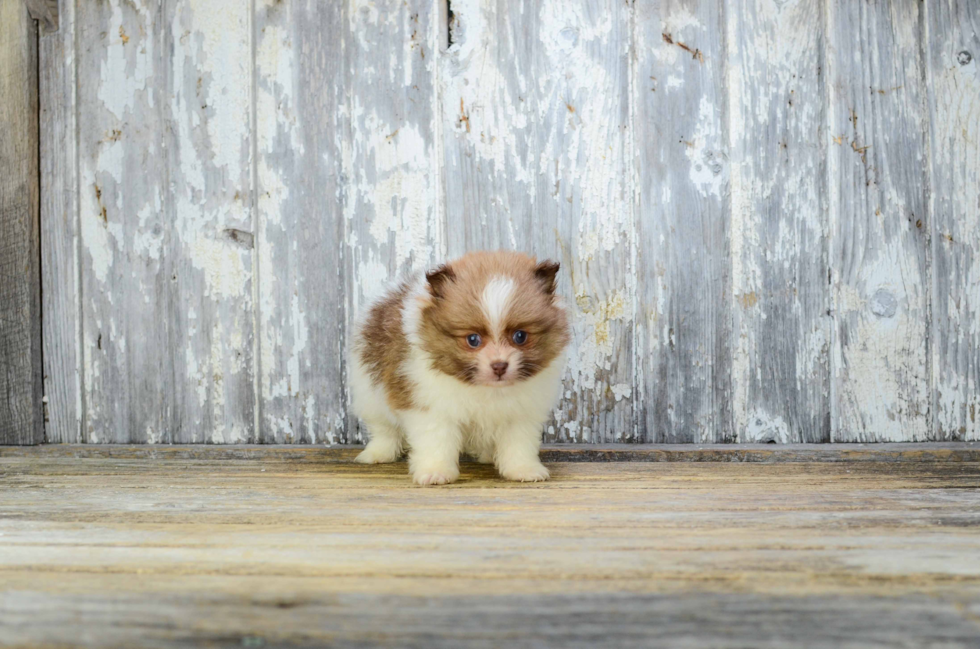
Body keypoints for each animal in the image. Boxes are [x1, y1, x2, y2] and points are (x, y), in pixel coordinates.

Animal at [350, 251, 568, 484]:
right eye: (473, 339)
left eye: (520, 336)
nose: (499, 366)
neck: (486, 389)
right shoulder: (430, 406)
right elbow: (436, 441)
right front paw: (435, 472)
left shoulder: (521, 413)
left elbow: (519, 443)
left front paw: (524, 470)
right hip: (370, 394)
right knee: (384, 429)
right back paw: (377, 454)